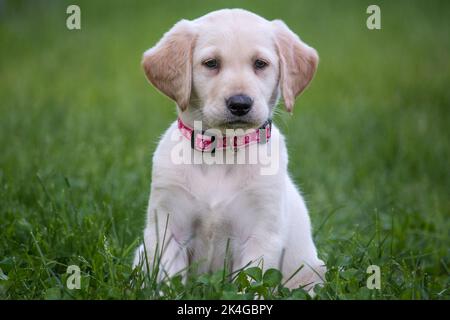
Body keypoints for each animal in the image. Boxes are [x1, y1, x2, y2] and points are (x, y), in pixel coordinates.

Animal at [132, 7, 326, 292]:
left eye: (260, 64)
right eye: (211, 63)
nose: (240, 103)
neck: (221, 148)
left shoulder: (260, 234)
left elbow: (252, 284)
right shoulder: (168, 228)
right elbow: (167, 282)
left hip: (312, 270)